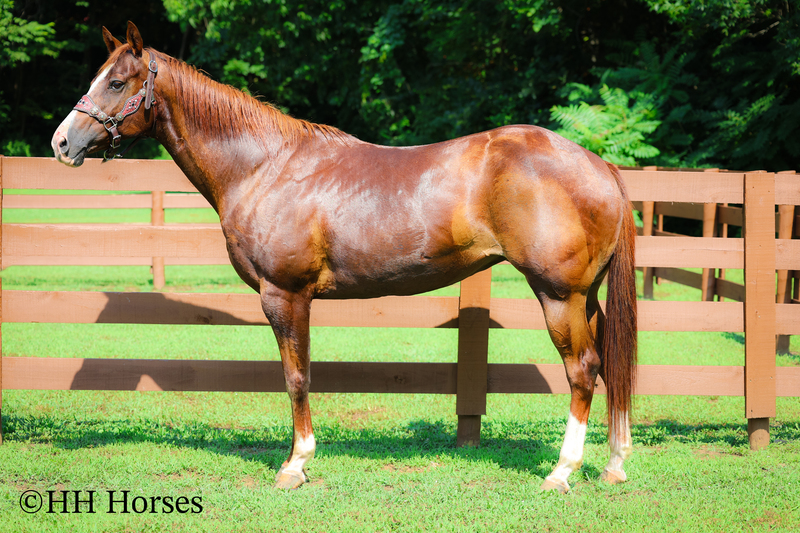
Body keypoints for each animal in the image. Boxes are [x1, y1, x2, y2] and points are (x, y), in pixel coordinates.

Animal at [51, 22, 637, 493]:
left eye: (117, 83)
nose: (61, 143)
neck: (264, 167)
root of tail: (598, 165)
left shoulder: (285, 295)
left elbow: (296, 376)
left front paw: (295, 465)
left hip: (558, 295)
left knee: (582, 369)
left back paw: (562, 472)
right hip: (584, 296)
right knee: (607, 365)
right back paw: (613, 465)